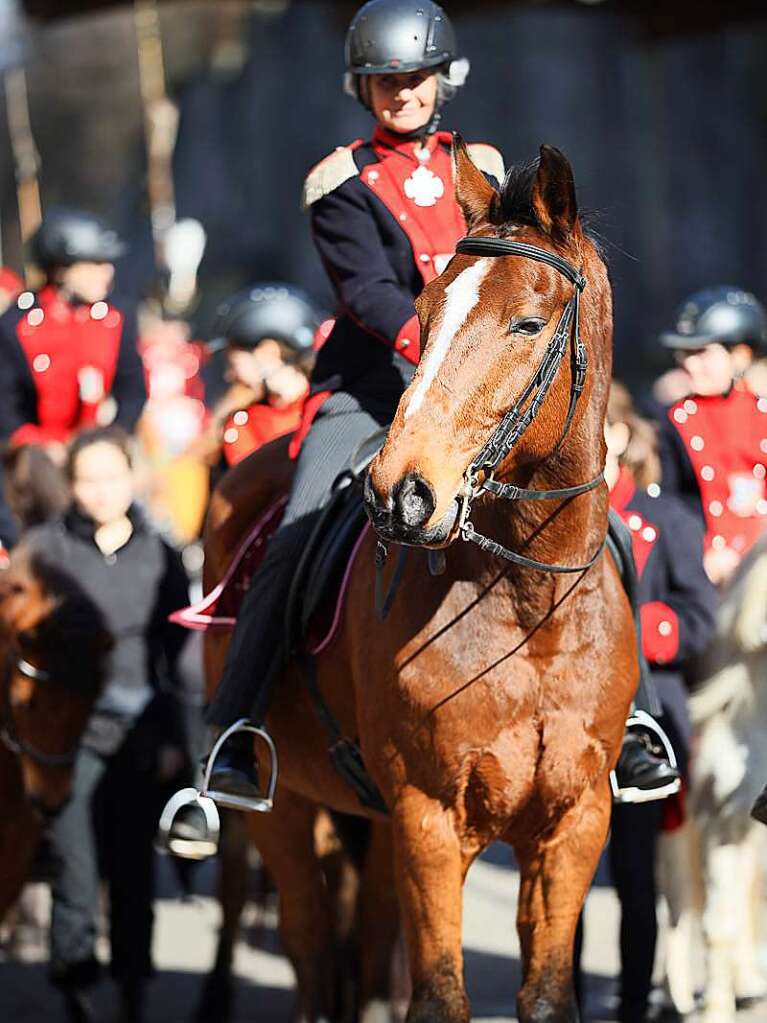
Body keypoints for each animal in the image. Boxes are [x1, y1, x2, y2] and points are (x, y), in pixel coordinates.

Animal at [201, 140, 634, 1018]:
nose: (401, 491)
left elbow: (544, 993)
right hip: (285, 810)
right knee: (307, 946)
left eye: (527, 321)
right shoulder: (427, 819)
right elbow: (437, 994)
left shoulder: (574, 824)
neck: (531, 615)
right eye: (425, 312)